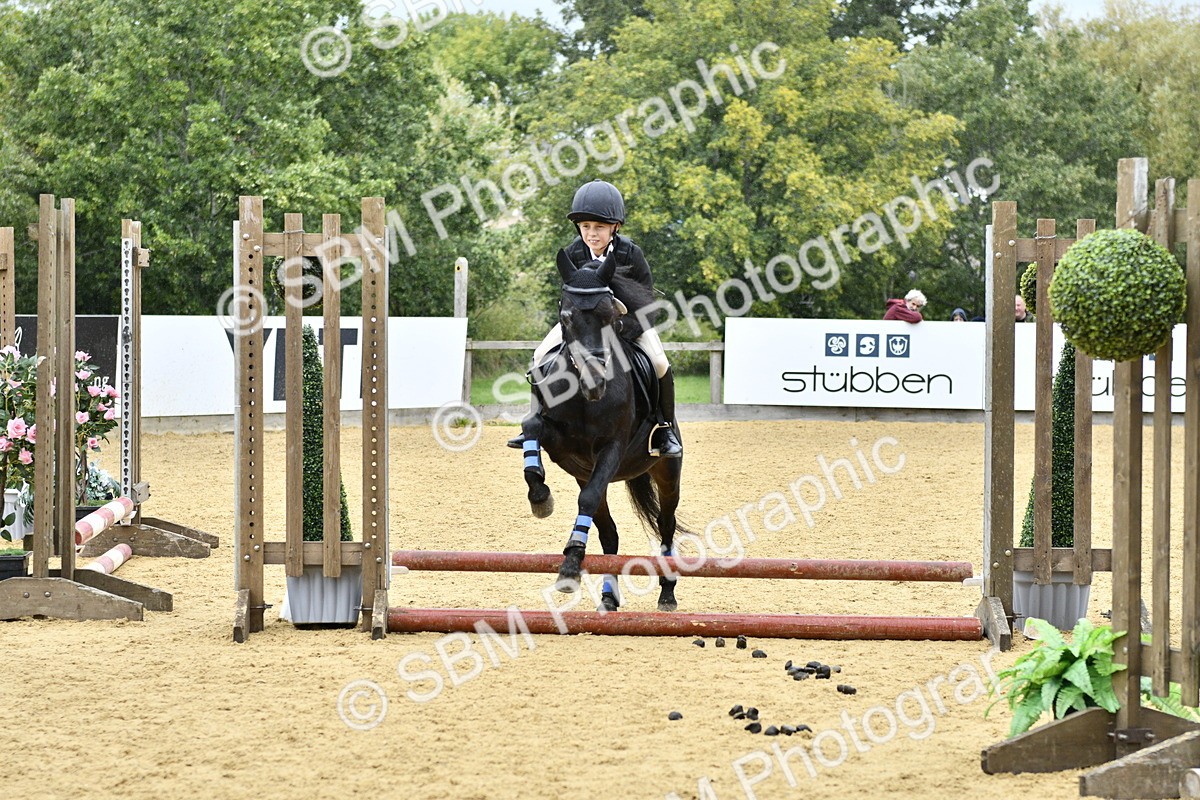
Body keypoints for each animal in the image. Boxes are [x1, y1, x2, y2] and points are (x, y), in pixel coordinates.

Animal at [519, 249, 686, 612]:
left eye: (611, 316)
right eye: (566, 317)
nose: (595, 383)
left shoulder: (612, 447)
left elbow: (588, 498)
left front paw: (570, 564)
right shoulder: (561, 446)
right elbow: (532, 427)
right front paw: (540, 496)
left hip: (667, 473)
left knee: (665, 524)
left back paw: (667, 592)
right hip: (586, 473)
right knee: (609, 534)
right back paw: (609, 597)